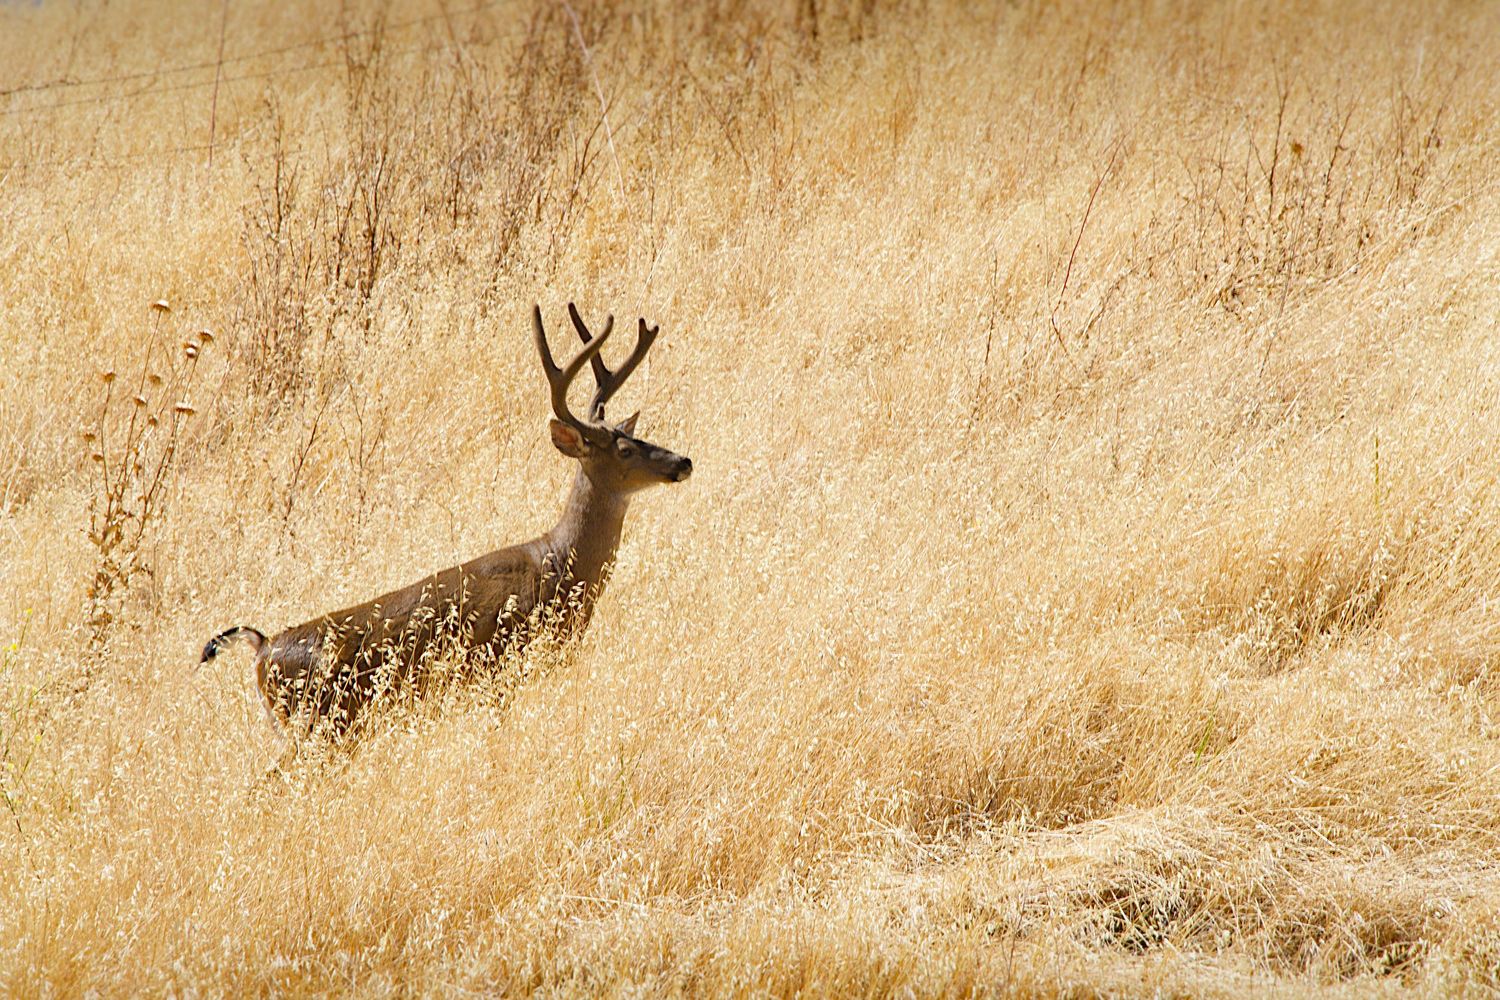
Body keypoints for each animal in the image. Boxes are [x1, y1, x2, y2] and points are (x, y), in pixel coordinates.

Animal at [200, 303, 692, 736]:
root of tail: (261, 647)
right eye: (624, 450)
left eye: (636, 434)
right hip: (320, 720)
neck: (558, 566)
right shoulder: (499, 665)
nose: (683, 461)